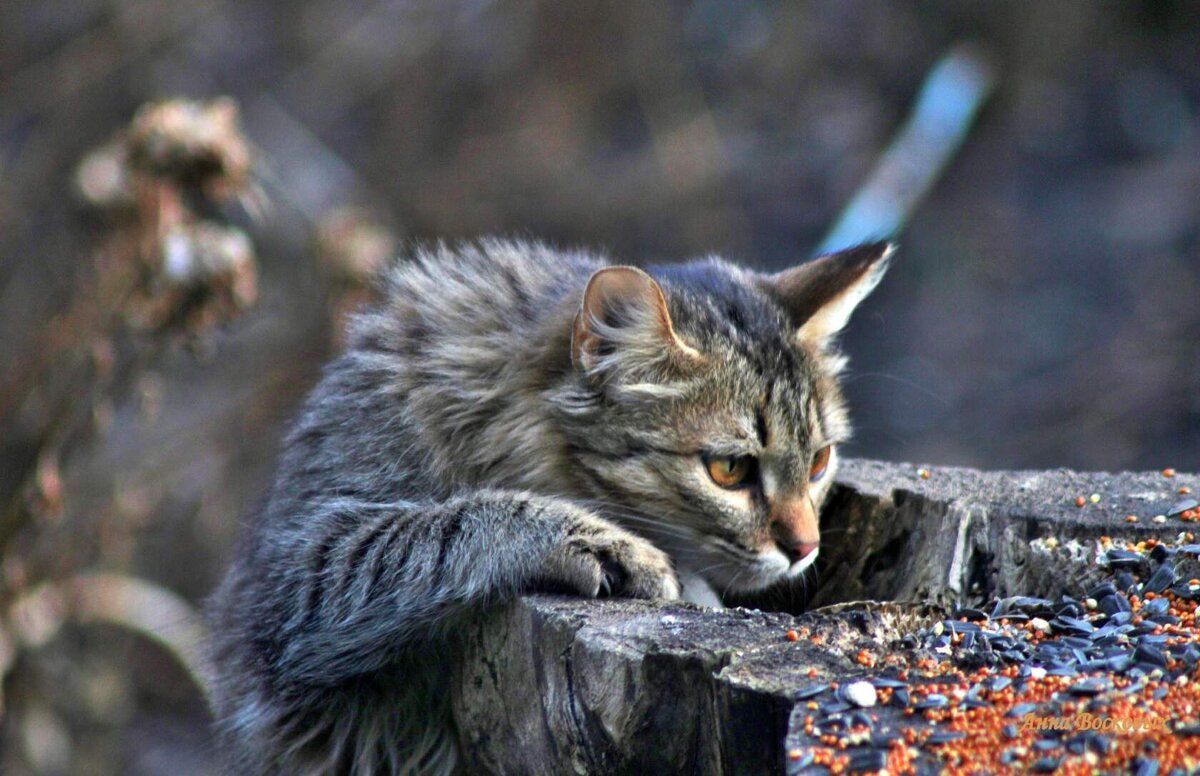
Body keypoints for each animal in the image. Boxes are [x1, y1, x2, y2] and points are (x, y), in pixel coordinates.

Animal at [208, 239, 892, 772]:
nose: (805, 548)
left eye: (819, 463)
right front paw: (602, 544)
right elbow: (448, 523)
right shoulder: (299, 581)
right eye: (730, 470)